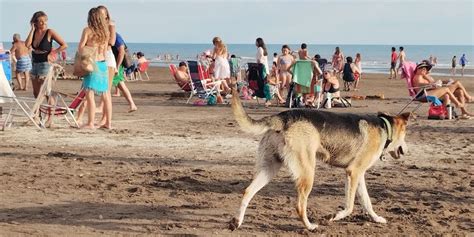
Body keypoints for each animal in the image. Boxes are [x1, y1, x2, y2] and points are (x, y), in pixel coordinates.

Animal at [228, 88, 410, 230]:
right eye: (405, 134)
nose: (406, 150)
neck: (385, 128)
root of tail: (283, 117)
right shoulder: (353, 172)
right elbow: (350, 206)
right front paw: (335, 216)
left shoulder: (358, 176)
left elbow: (366, 201)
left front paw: (376, 218)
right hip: (308, 174)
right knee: (299, 206)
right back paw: (310, 226)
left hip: (269, 169)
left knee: (248, 191)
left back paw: (237, 222)